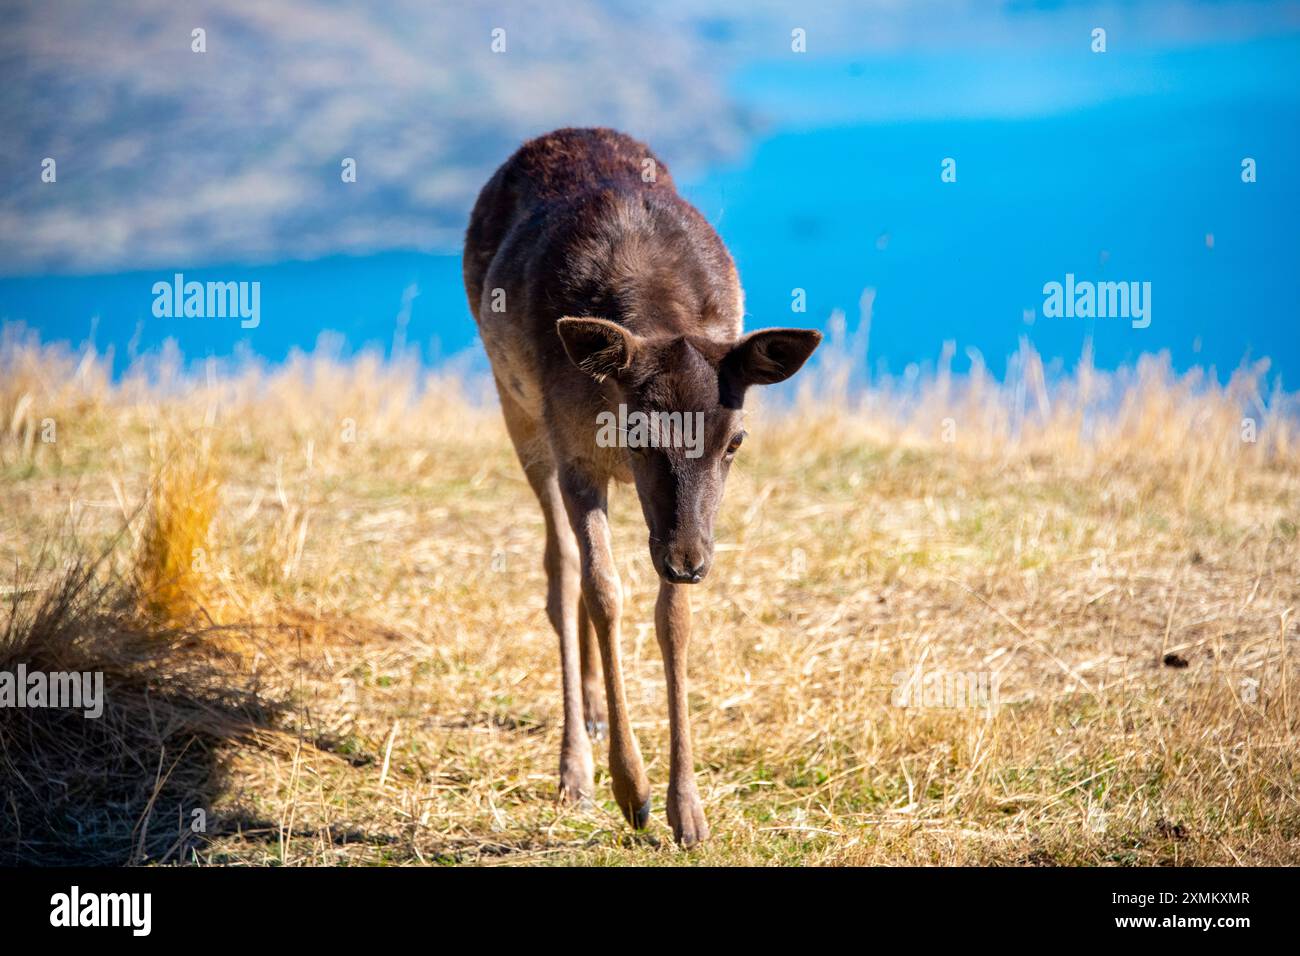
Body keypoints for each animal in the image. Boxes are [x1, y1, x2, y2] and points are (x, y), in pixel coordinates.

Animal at [462, 127, 821, 845]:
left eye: (735, 440)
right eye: (636, 431)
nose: (690, 561)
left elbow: (672, 620)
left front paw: (689, 811)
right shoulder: (576, 453)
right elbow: (604, 593)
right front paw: (631, 793)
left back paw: (595, 714)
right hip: (518, 409)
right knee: (561, 568)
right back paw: (575, 764)